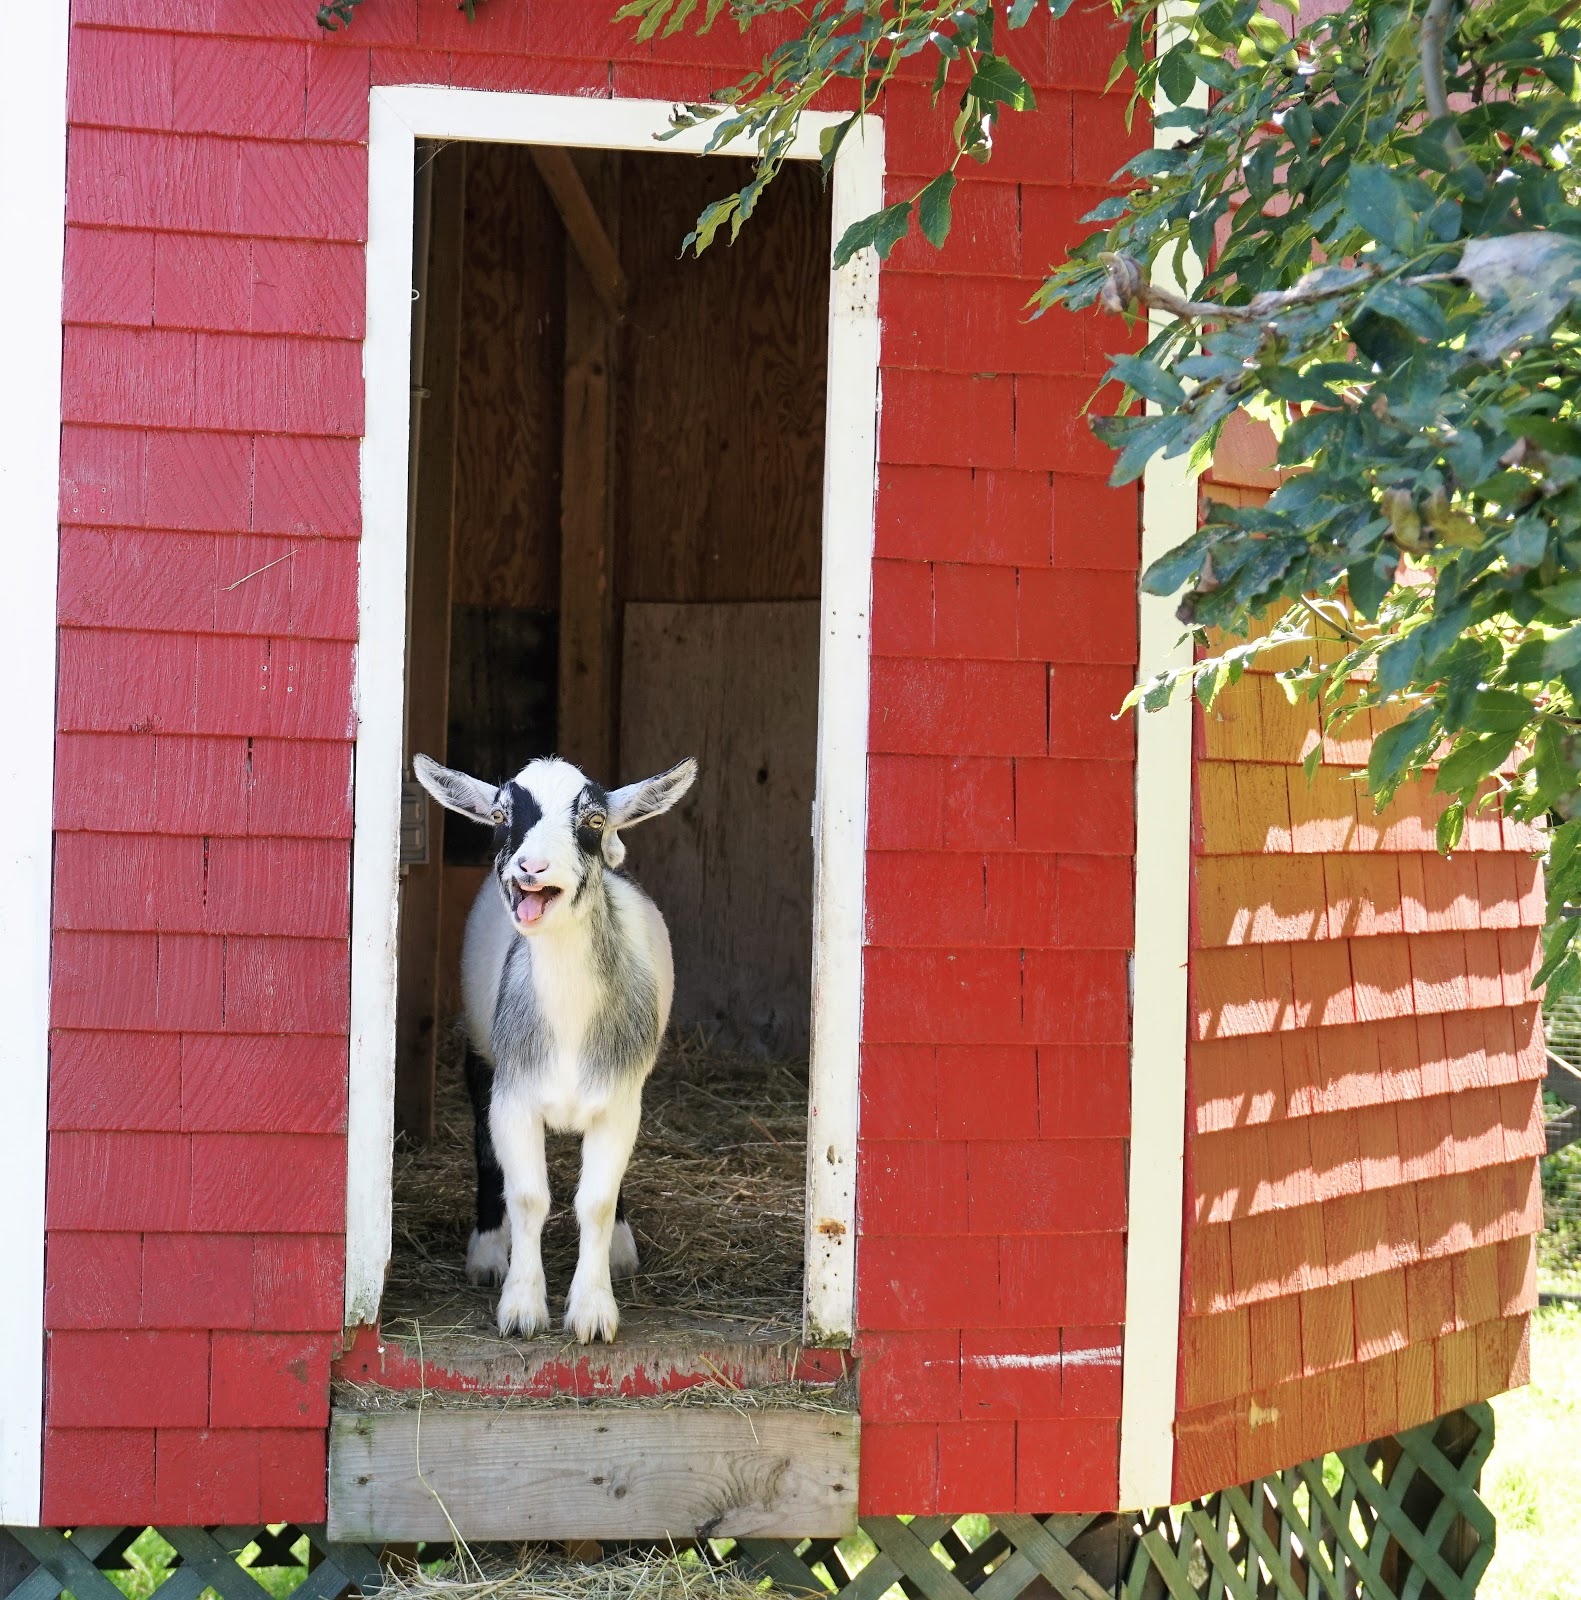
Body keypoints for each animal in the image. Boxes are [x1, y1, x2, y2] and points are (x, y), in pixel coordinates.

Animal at [413, 751, 697, 1343]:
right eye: (500, 817)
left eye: (594, 820)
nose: (531, 868)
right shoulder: (513, 1098)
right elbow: (527, 1195)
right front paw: (521, 1306)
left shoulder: (619, 1101)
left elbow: (596, 1200)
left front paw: (593, 1310)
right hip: (481, 1051)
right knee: (484, 1149)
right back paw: (488, 1251)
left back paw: (619, 1249)